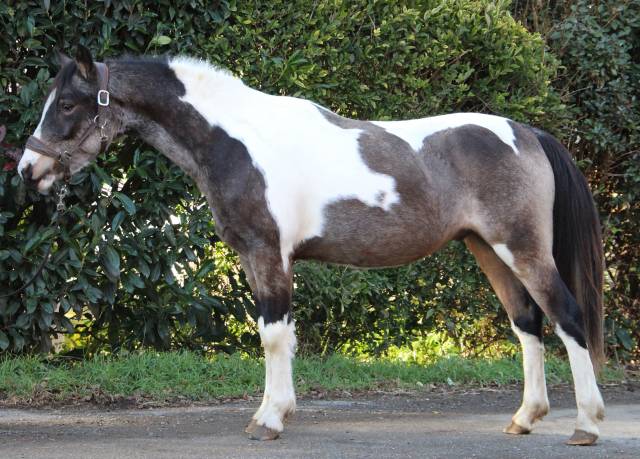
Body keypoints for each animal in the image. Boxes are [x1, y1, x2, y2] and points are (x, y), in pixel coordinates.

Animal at [18, 46, 605, 445]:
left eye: (67, 104)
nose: (28, 170)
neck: (240, 140)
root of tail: (526, 132)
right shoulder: (254, 258)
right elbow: (273, 335)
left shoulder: (268, 253)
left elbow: (274, 336)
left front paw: (269, 418)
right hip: (488, 250)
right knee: (527, 324)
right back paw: (524, 418)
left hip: (523, 249)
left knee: (566, 317)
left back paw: (588, 424)